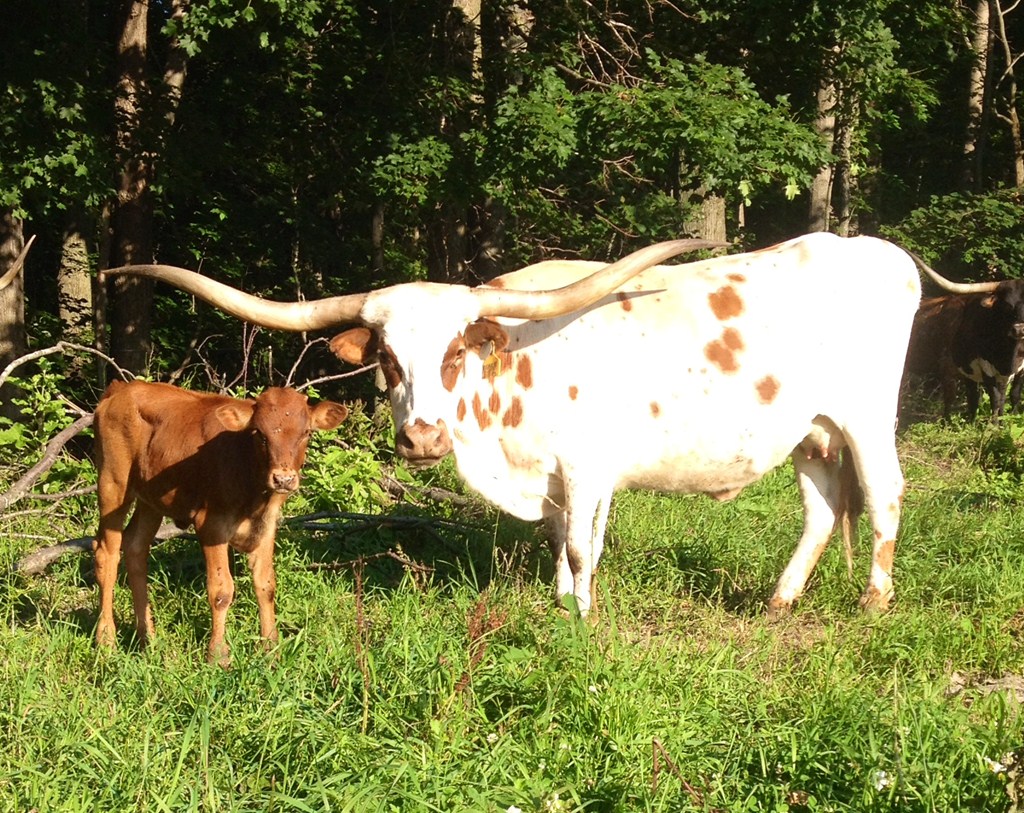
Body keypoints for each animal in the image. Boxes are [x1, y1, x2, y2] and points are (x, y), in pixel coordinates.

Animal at [93, 380, 348, 665]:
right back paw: (107, 640)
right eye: (260, 434)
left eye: (306, 433)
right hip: (113, 482)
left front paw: (271, 649)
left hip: (150, 498)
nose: (283, 479)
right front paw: (218, 654)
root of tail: (121, 387)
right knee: (106, 553)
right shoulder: (211, 524)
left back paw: (148, 638)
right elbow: (221, 589)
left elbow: (266, 585)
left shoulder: (267, 525)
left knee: (135, 546)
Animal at [104, 234, 971, 619]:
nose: (421, 438)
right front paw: (559, 594)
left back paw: (874, 601)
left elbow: (584, 542)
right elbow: (559, 537)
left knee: (886, 495)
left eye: (456, 348)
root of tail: (878, 248)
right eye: (386, 355)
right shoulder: (556, 477)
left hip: (867, 415)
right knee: (823, 508)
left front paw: (581, 613)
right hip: (811, 430)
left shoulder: (586, 467)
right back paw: (780, 600)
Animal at [903, 280, 1024, 421]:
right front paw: (993, 425)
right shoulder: (983, 369)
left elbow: (1012, 396)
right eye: (1006, 305)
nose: (1019, 330)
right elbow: (995, 399)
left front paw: (1007, 420)